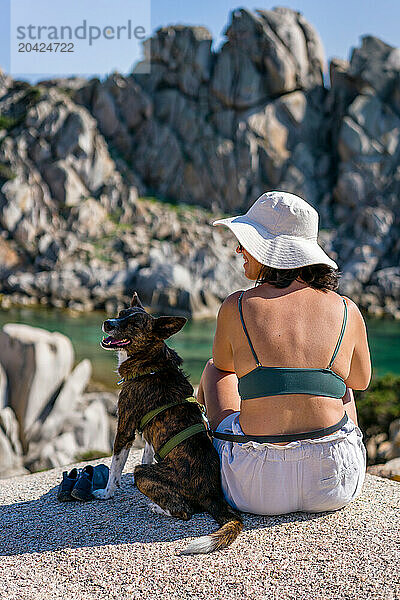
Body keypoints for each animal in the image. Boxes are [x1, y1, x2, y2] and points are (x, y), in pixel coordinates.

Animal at [94, 292, 242, 556]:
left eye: (134, 325)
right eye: (121, 313)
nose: (107, 323)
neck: (150, 364)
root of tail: (212, 493)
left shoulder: (125, 429)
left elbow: (115, 466)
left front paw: (107, 493)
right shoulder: (148, 436)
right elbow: (146, 453)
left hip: (144, 474)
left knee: (185, 512)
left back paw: (156, 507)